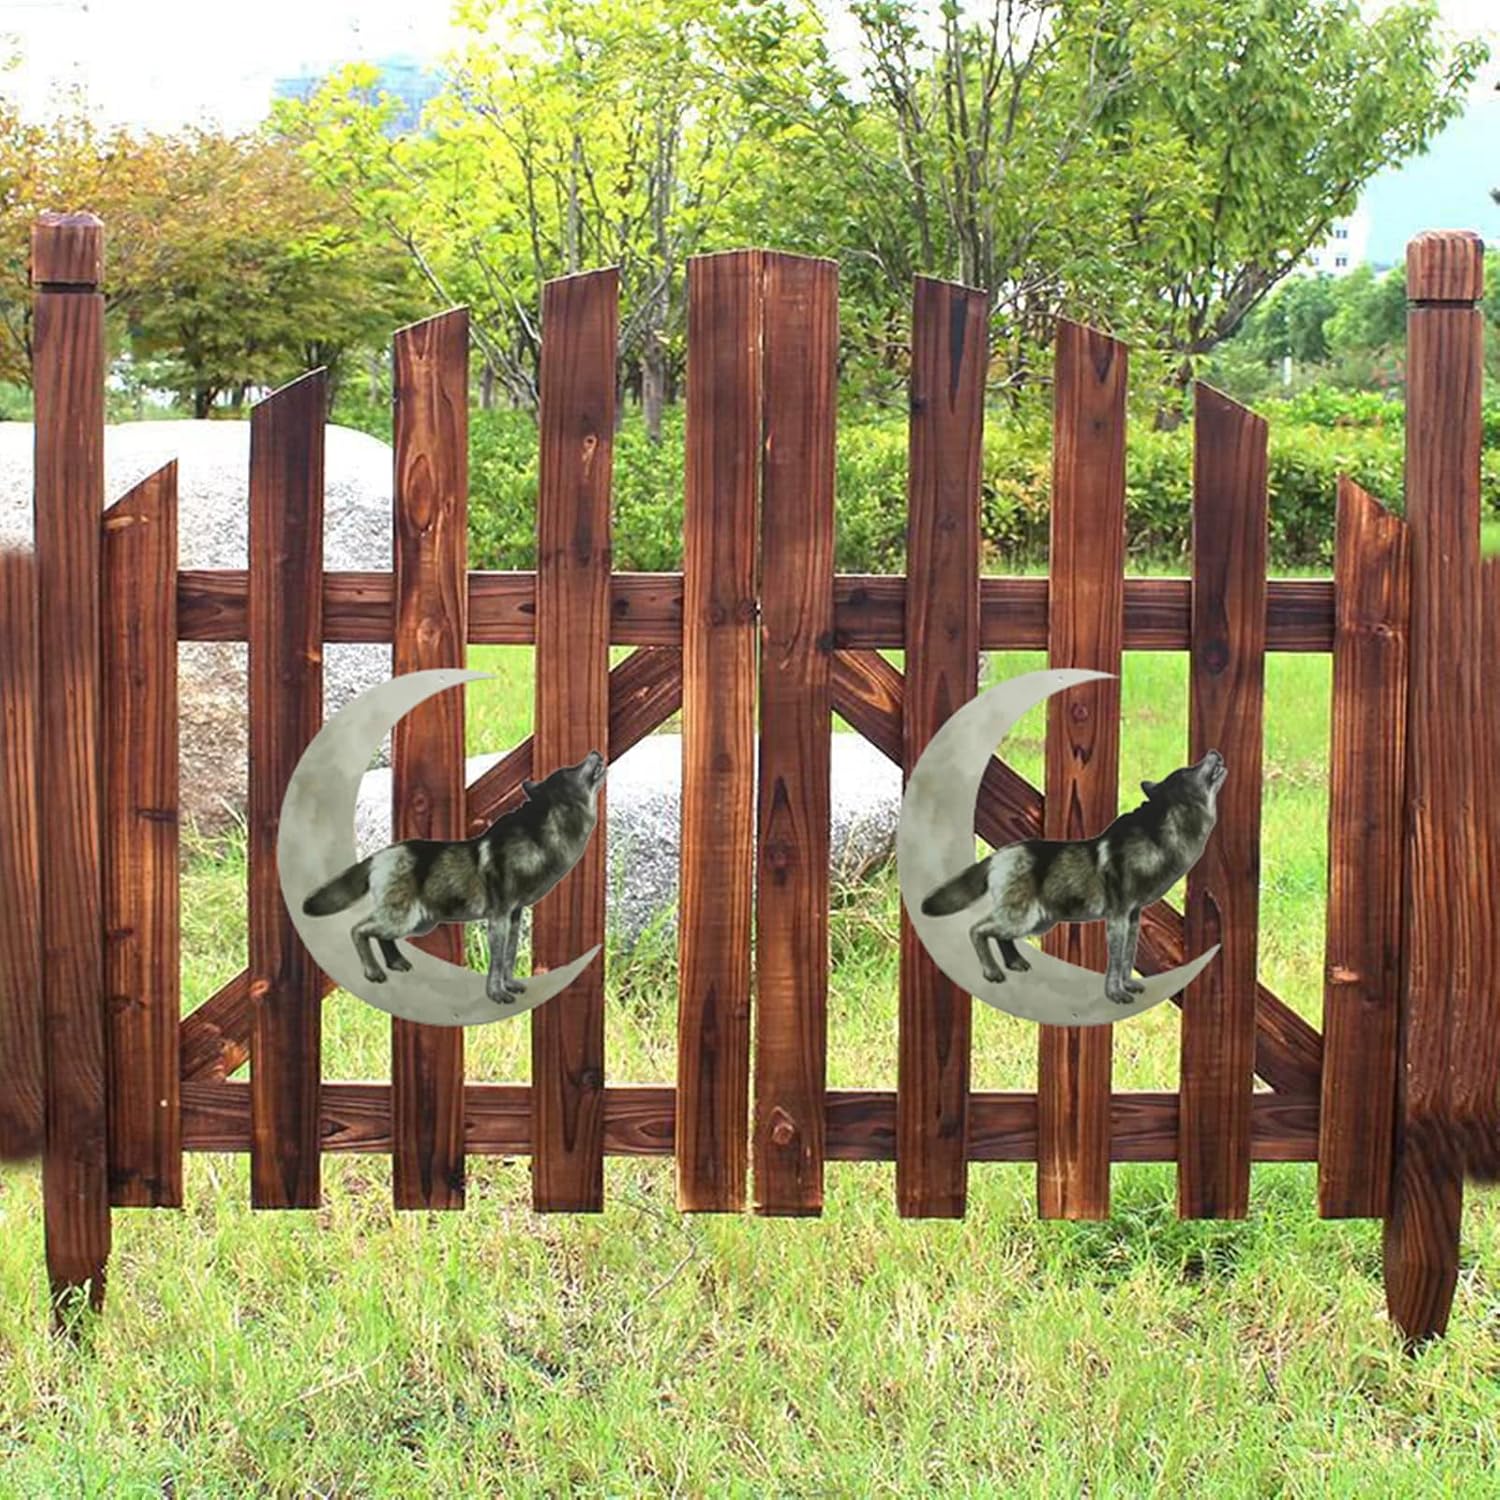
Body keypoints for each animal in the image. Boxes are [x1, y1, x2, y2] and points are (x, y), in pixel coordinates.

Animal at [301, 749, 607, 1005]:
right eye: (571, 768)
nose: (595, 751)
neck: (542, 837)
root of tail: (379, 855)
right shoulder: (498, 917)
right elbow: (498, 961)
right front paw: (497, 994)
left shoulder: (514, 916)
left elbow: (508, 958)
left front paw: (510, 985)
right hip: (404, 919)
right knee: (358, 930)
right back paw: (374, 972)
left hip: (415, 923)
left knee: (379, 935)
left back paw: (396, 963)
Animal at [919, 750, 1227, 1004]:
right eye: (1190, 769)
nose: (1214, 751)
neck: (1161, 835)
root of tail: (998, 856)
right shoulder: (1117, 917)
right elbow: (1116, 961)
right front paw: (1115, 994)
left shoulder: (1133, 917)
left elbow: (1128, 957)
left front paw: (1128, 985)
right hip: (1024, 918)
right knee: (977, 930)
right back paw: (992, 972)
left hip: (1035, 922)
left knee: (998, 936)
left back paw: (1015, 963)